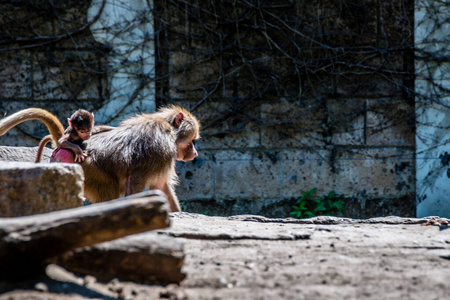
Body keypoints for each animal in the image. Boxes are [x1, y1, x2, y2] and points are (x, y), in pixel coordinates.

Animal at [0, 105, 200, 211]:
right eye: (192, 141)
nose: (195, 153)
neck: (169, 129)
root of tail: (63, 144)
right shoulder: (159, 151)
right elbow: (137, 181)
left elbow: (160, 186)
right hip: (90, 169)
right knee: (108, 188)